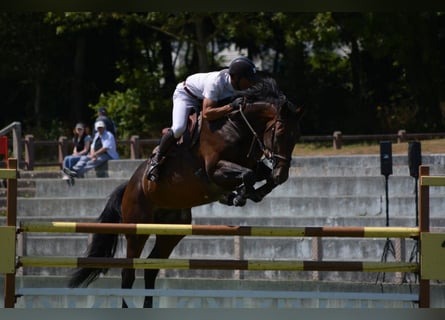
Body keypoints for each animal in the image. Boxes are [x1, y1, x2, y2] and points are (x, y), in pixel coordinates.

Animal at [67, 77, 302, 308]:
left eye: (296, 137)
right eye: (280, 133)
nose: (283, 174)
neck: (237, 127)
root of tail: (130, 186)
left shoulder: (251, 164)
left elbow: (261, 175)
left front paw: (250, 193)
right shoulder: (214, 169)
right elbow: (249, 175)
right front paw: (240, 194)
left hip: (171, 232)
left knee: (150, 268)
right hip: (137, 230)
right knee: (128, 274)